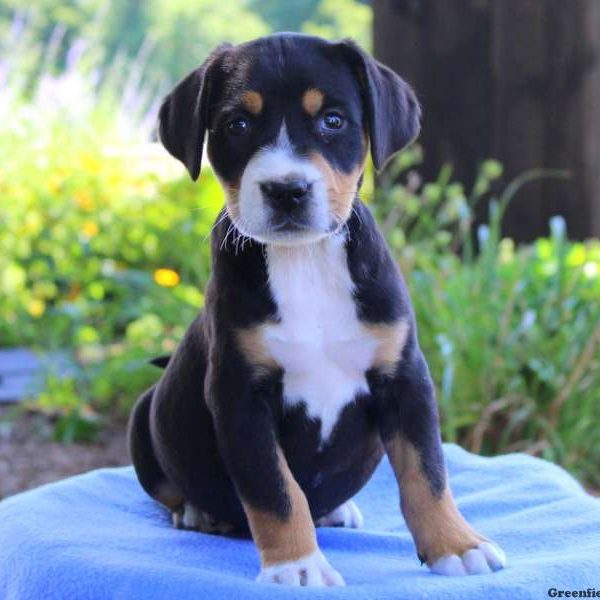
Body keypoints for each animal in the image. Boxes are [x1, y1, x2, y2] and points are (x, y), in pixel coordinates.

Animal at [127, 32, 506, 584]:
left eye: (333, 120)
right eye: (237, 125)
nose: (287, 190)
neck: (305, 261)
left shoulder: (405, 377)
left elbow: (427, 472)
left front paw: (457, 545)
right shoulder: (240, 396)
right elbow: (277, 491)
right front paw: (298, 566)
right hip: (142, 416)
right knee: (169, 488)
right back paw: (198, 512)